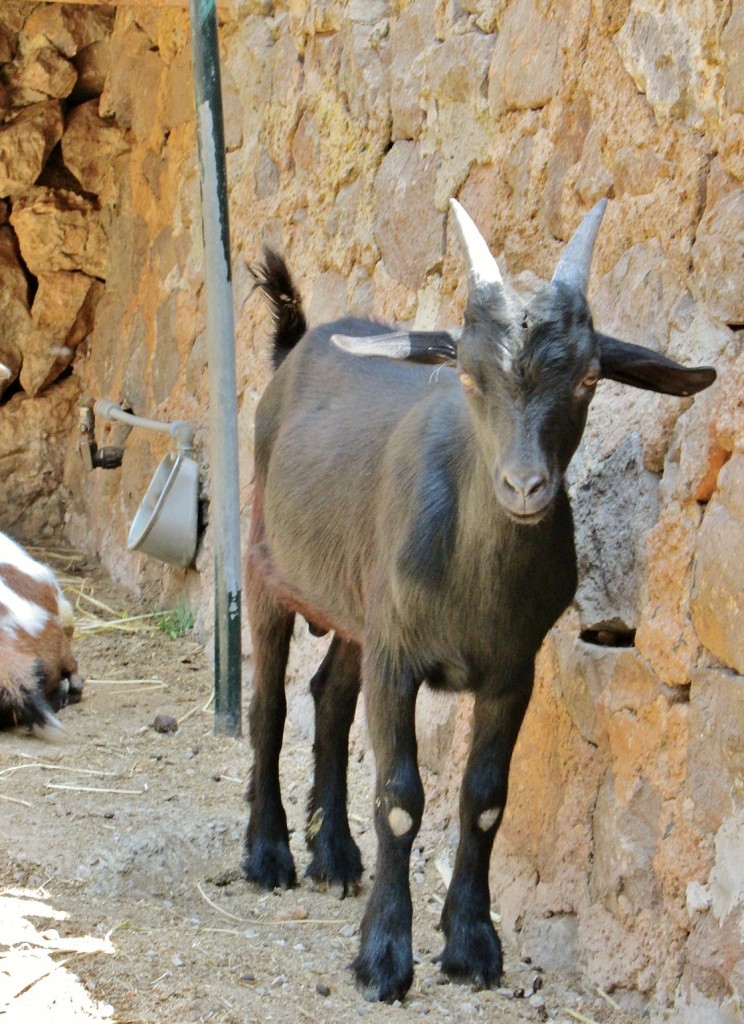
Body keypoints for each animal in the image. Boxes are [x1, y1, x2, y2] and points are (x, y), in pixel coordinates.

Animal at [242, 199, 716, 999]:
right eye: (466, 376)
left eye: (590, 377)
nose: (525, 486)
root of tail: (295, 348)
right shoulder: (399, 659)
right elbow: (401, 800)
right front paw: (384, 958)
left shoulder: (509, 671)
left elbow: (485, 799)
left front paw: (471, 945)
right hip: (265, 568)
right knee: (269, 705)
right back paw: (268, 853)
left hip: (360, 610)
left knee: (329, 695)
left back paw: (333, 855)